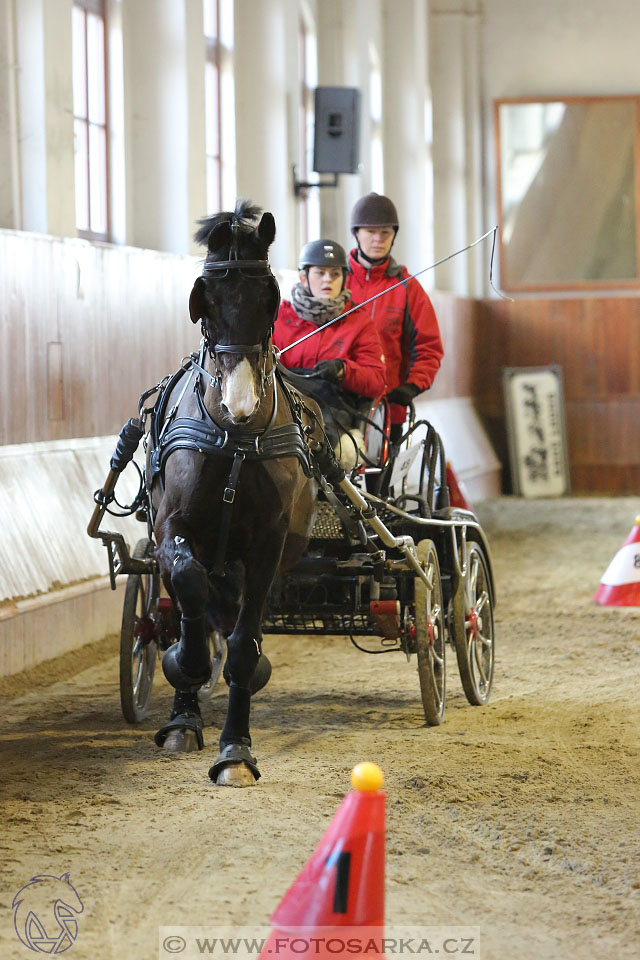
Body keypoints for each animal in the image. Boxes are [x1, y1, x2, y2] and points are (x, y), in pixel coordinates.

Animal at [150, 202, 320, 788]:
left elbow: (245, 646)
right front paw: (186, 668)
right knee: (192, 598)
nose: (240, 404)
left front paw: (236, 751)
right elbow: (187, 586)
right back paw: (183, 717)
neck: (235, 439)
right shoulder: (172, 529)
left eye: (268, 296)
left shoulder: (267, 546)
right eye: (205, 297)